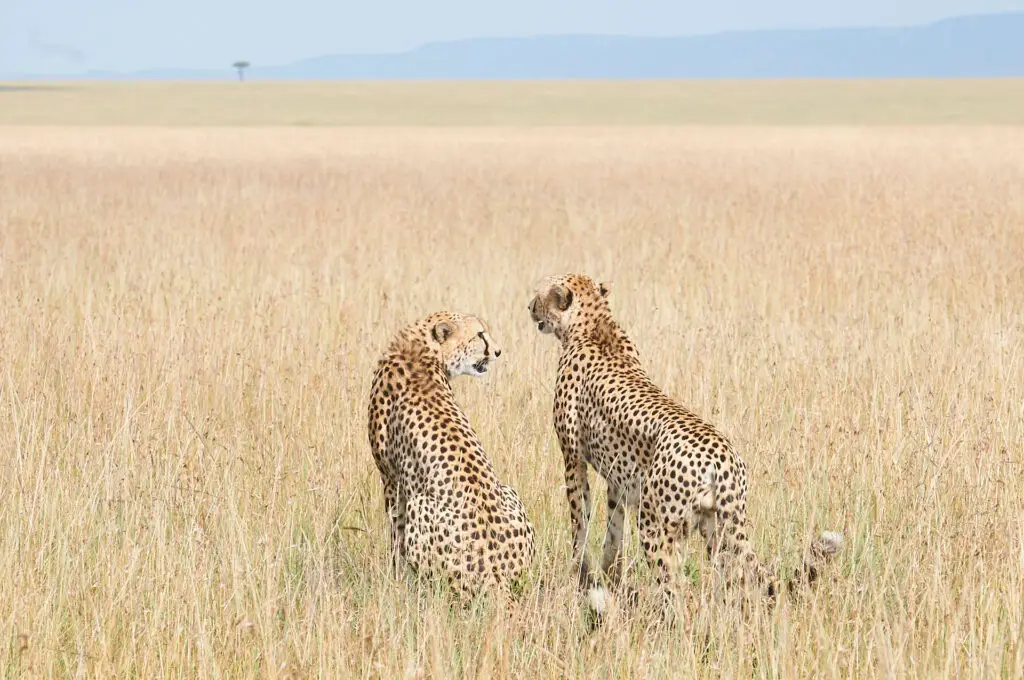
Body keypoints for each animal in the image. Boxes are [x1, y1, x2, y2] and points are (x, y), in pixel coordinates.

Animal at [366, 309, 536, 602]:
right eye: (480, 334)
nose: (498, 351)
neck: (422, 349)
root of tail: (497, 572)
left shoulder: (390, 479)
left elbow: (395, 534)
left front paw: (394, 576)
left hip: (420, 503)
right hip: (509, 491)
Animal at [528, 274, 839, 614]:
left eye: (541, 295)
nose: (530, 307)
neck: (594, 324)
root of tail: (724, 459)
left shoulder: (573, 458)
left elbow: (579, 521)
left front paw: (580, 573)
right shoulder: (619, 478)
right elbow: (613, 528)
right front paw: (610, 574)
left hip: (656, 523)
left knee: (676, 587)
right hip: (718, 527)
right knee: (735, 577)